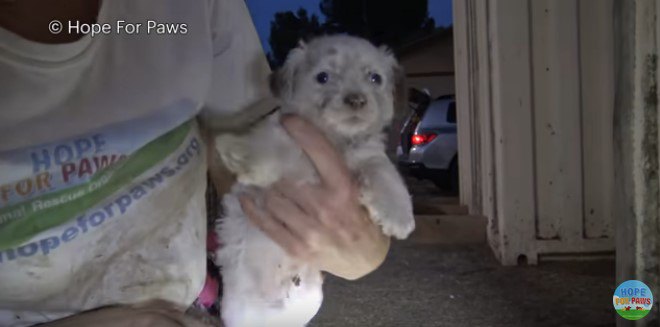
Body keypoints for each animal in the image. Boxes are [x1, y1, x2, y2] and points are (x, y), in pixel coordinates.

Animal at [214, 34, 416, 326]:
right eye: (323, 77)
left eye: (375, 78)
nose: (356, 99)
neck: (334, 137)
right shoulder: (286, 135)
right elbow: (270, 146)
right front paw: (242, 154)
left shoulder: (369, 155)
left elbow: (385, 173)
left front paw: (398, 216)